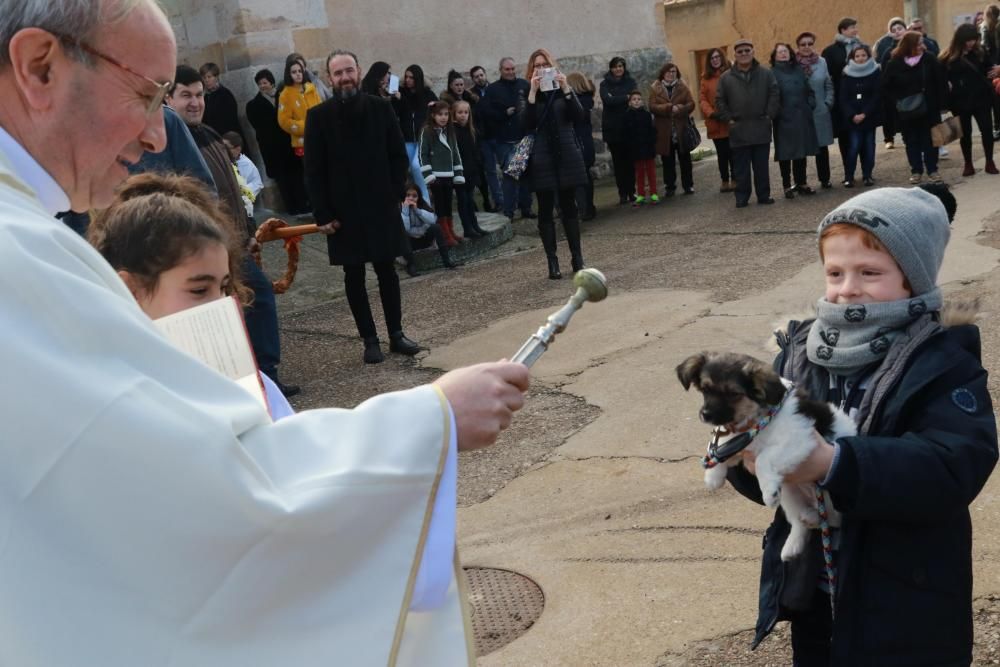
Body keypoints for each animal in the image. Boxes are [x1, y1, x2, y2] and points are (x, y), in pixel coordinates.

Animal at [676, 352, 856, 560]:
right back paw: (794, 543)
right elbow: (718, 442)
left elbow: (763, 459)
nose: (705, 415)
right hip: (789, 494)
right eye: (705, 389)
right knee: (801, 522)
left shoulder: (800, 439)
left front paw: (768, 492)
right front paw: (713, 475)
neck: (758, 417)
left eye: (733, 394)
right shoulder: (739, 440)